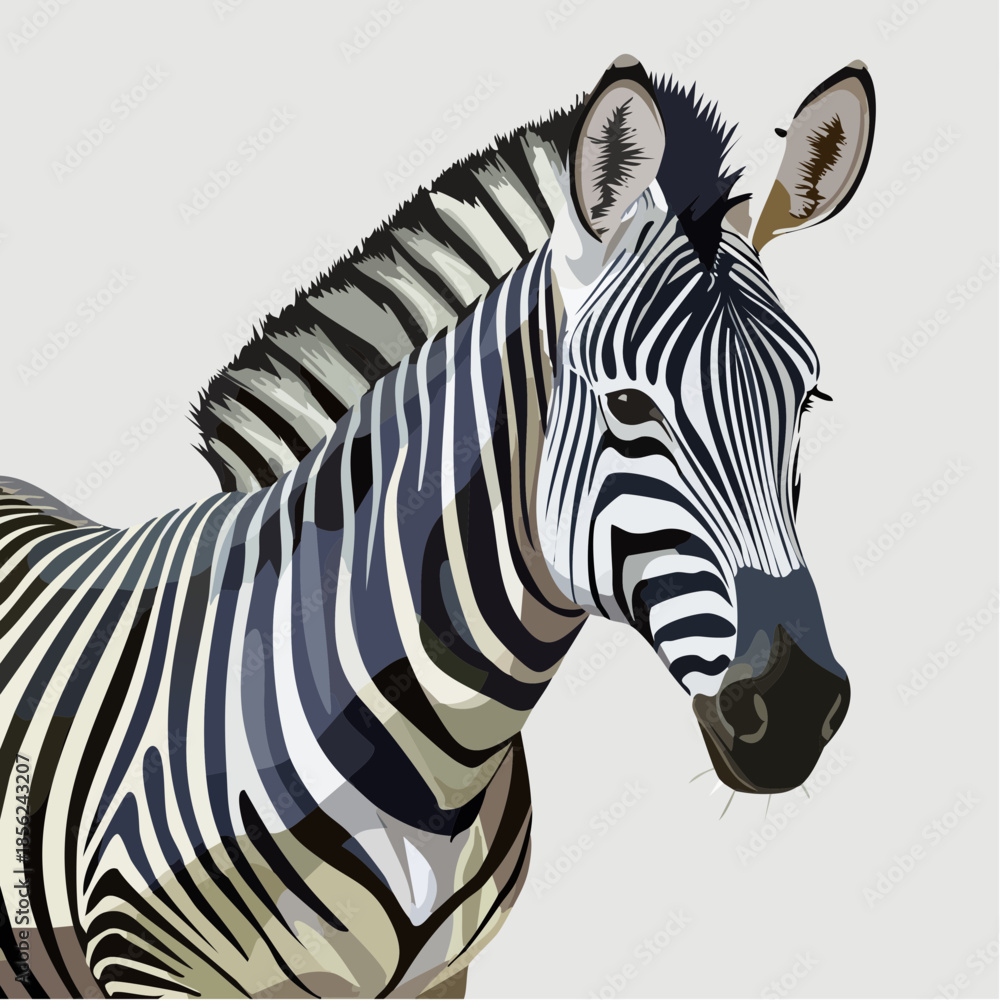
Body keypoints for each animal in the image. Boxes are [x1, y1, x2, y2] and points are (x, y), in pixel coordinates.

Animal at [0, 54, 875, 999]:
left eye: (808, 403)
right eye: (630, 407)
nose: (796, 707)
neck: (443, 762)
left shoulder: (442, 976)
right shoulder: (148, 971)